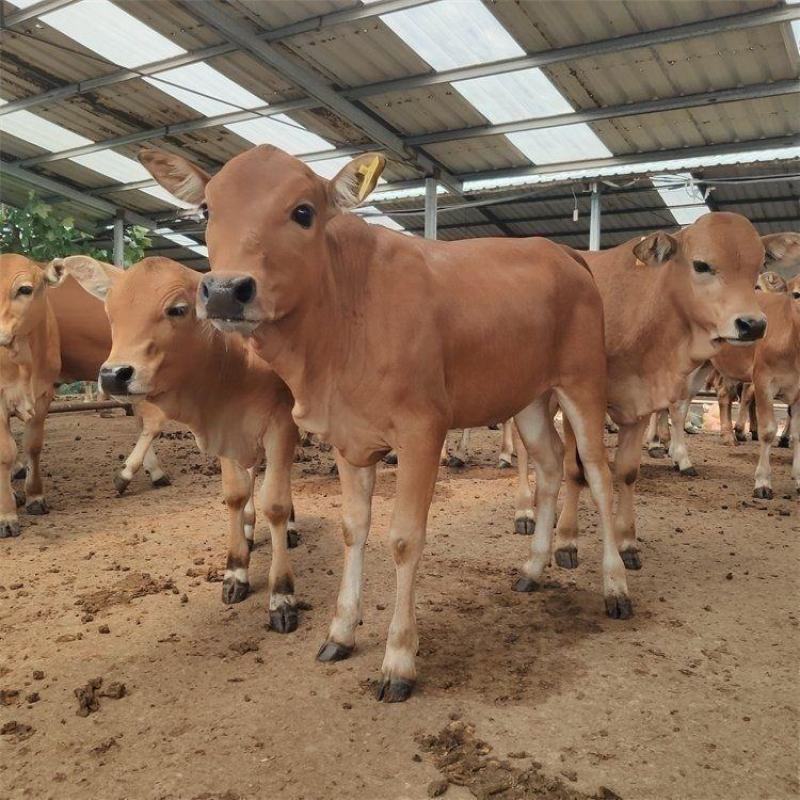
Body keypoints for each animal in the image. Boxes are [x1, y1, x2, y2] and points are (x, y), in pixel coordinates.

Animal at [61, 256, 300, 632]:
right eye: (111, 313)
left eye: (176, 309)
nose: (113, 375)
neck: (235, 368)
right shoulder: (225, 432)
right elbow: (235, 494)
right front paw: (236, 570)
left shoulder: (282, 426)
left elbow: (275, 502)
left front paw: (282, 595)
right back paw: (248, 528)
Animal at [141, 145, 628, 708]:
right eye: (206, 210)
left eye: (304, 211)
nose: (224, 291)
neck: (344, 319)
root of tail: (563, 252)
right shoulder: (347, 439)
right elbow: (354, 529)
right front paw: (340, 632)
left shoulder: (422, 431)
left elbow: (403, 539)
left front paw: (398, 659)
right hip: (528, 397)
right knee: (549, 466)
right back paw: (532, 569)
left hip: (584, 384)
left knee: (597, 474)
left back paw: (616, 586)